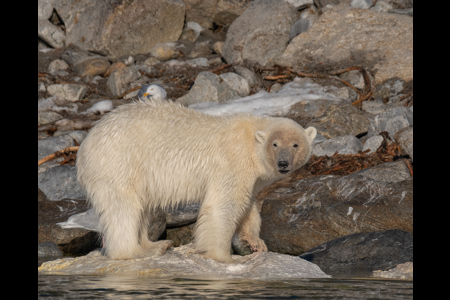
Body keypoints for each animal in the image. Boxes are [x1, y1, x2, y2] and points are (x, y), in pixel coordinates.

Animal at [76, 100, 316, 262]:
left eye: (295, 144)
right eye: (275, 144)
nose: (283, 163)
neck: (250, 140)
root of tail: (85, 143)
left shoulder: (250, 176)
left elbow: (247, 205)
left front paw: (255, 242)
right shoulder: (232, 161)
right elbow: (224, 205)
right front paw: (222, 256)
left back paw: (154, 245)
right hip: (119, 163)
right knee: (123, 207)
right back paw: (137, 251)